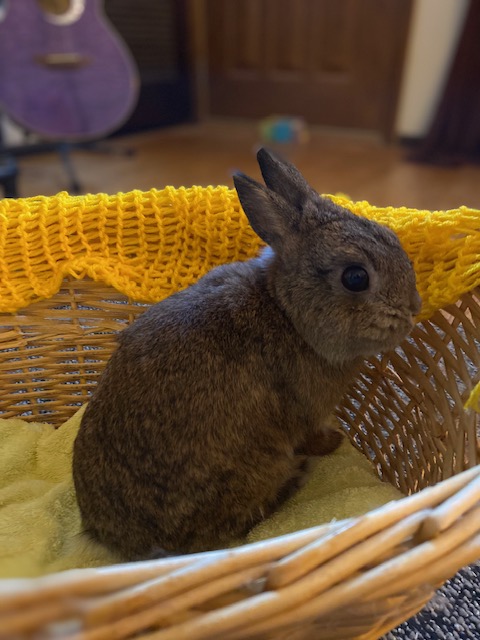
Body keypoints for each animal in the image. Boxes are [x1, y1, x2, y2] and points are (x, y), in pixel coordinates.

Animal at [71, 150, 420, 560]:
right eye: (355, 278)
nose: (414, 309)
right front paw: (333, 442)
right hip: (258, 466)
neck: (286, 312)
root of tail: (131, 544)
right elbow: (312, 436)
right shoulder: (305, 415)